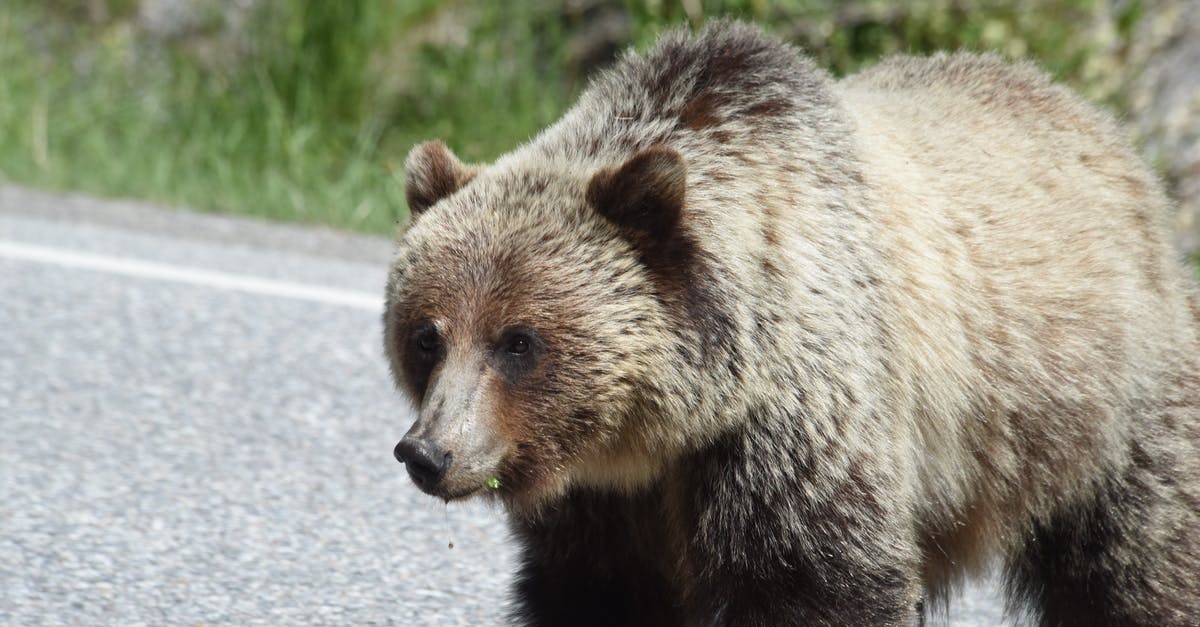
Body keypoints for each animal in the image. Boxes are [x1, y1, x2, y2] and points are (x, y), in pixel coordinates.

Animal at [384, 18, 1200, 619]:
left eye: (519, 341)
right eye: (426, 336)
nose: (430, 453)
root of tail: (1100, 127)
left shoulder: (794, 432)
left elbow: (814, 582)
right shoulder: (604, 509)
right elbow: (594, 593)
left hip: (1103, 411)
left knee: (1135, 564)